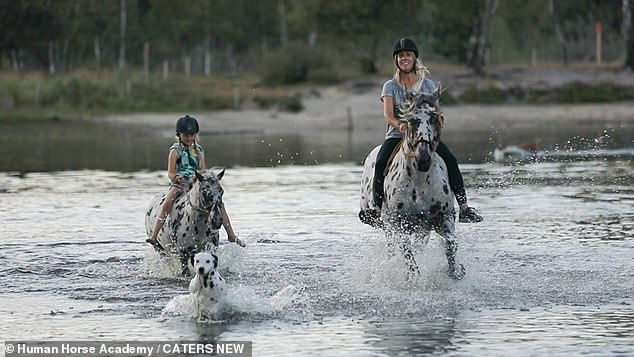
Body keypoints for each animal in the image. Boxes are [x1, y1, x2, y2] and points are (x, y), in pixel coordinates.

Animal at [360, 88, 464, 278]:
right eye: (411, 120)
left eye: (434, 118)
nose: (423, 158)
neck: (419, 181)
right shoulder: (398, 224)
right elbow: (408, 255)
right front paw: (412, 277)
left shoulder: (443, 218)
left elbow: (450, 246)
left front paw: (455, 272)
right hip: (387, 225)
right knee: (392, 248)